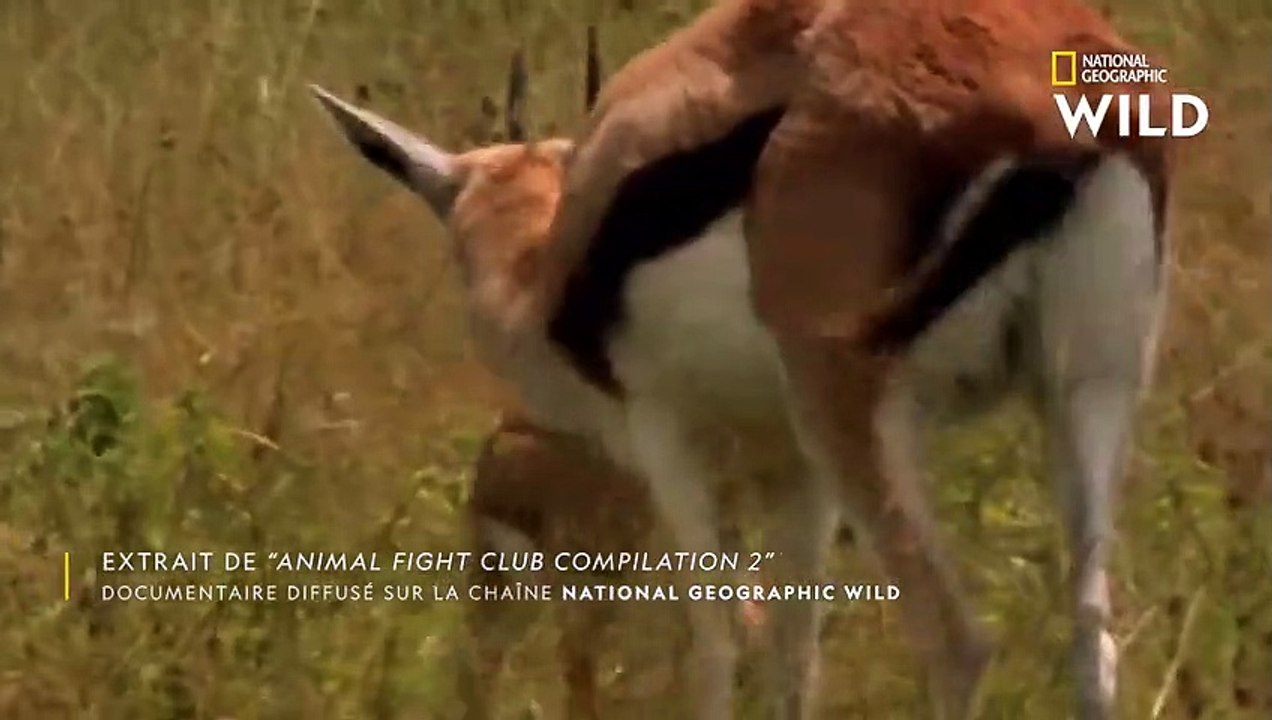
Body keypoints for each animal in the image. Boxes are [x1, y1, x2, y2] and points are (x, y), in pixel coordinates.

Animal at [310, 0, 1174, 717]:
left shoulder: (664, 436)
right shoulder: (799, 471)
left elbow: (721, 638)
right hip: (1089, 392)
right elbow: (793, 653)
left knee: (955, 641)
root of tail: (1049, 116)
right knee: (1093, 643)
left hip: (850, 407)